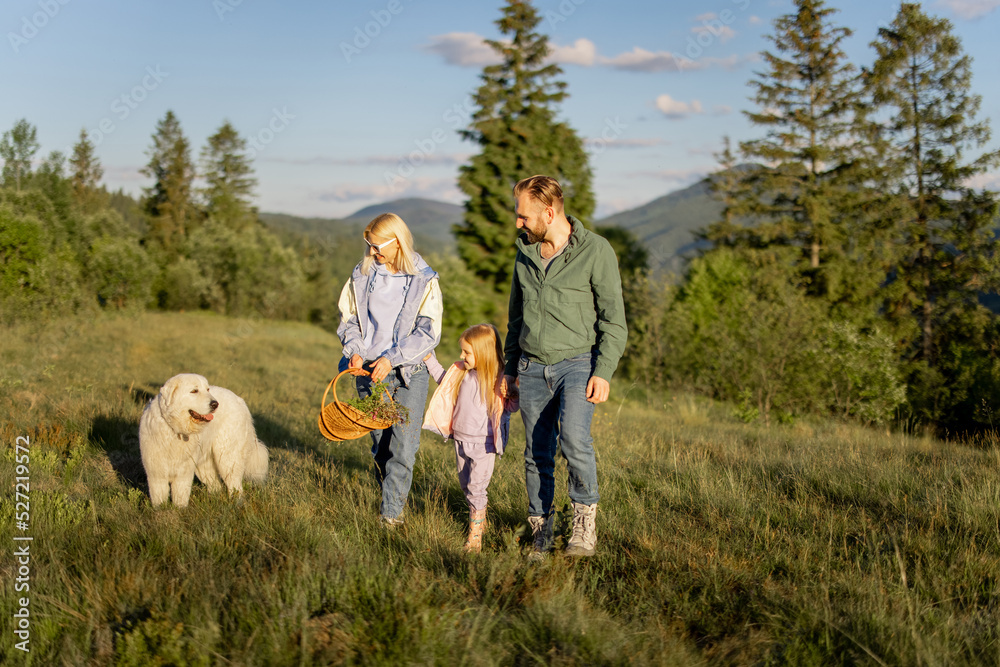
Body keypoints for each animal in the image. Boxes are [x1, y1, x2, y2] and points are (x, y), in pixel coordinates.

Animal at [139, 374, 270, 508]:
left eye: (207, 390)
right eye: (194, 391)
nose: (215, 404)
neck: (175, 430)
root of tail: (240, 400)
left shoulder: (183, 474)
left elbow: (180, 498)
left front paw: (179, 511)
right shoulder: (156, 474)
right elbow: (159, 499)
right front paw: (160, 511)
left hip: (227, 458)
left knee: (235, 485)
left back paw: (236, 505)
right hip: (205, 465)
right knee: (216, 485)